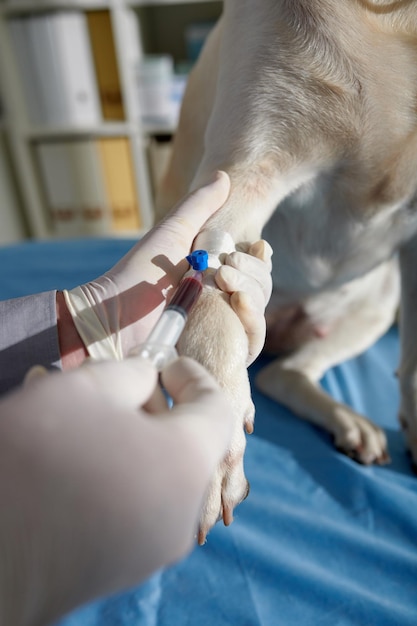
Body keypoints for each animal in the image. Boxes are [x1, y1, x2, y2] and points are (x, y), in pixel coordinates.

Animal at [154, 0, 416, 540]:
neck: (386, 15)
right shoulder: (245, 168)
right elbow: (209, 302)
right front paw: (211, 431)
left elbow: (416, 364)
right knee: (275, 374)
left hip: (379, 302)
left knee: (290, 371)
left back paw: (349, 421)